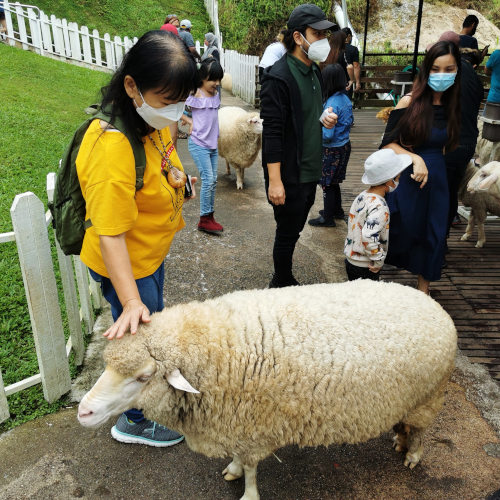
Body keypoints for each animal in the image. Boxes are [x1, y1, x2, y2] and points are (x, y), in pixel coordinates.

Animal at [78, 282, 458, 500]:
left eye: (143, 377)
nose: (84, 411)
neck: (212, 347)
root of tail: (433, 304)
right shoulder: (236, 420)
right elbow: (238, 460)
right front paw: (231, 468)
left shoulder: (252, 426)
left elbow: (250, 469)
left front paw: (247, 491)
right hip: (409, 398)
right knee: (407, 424)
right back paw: (400, 439)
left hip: (429, 396)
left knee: (421, 430)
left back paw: (413, 454)